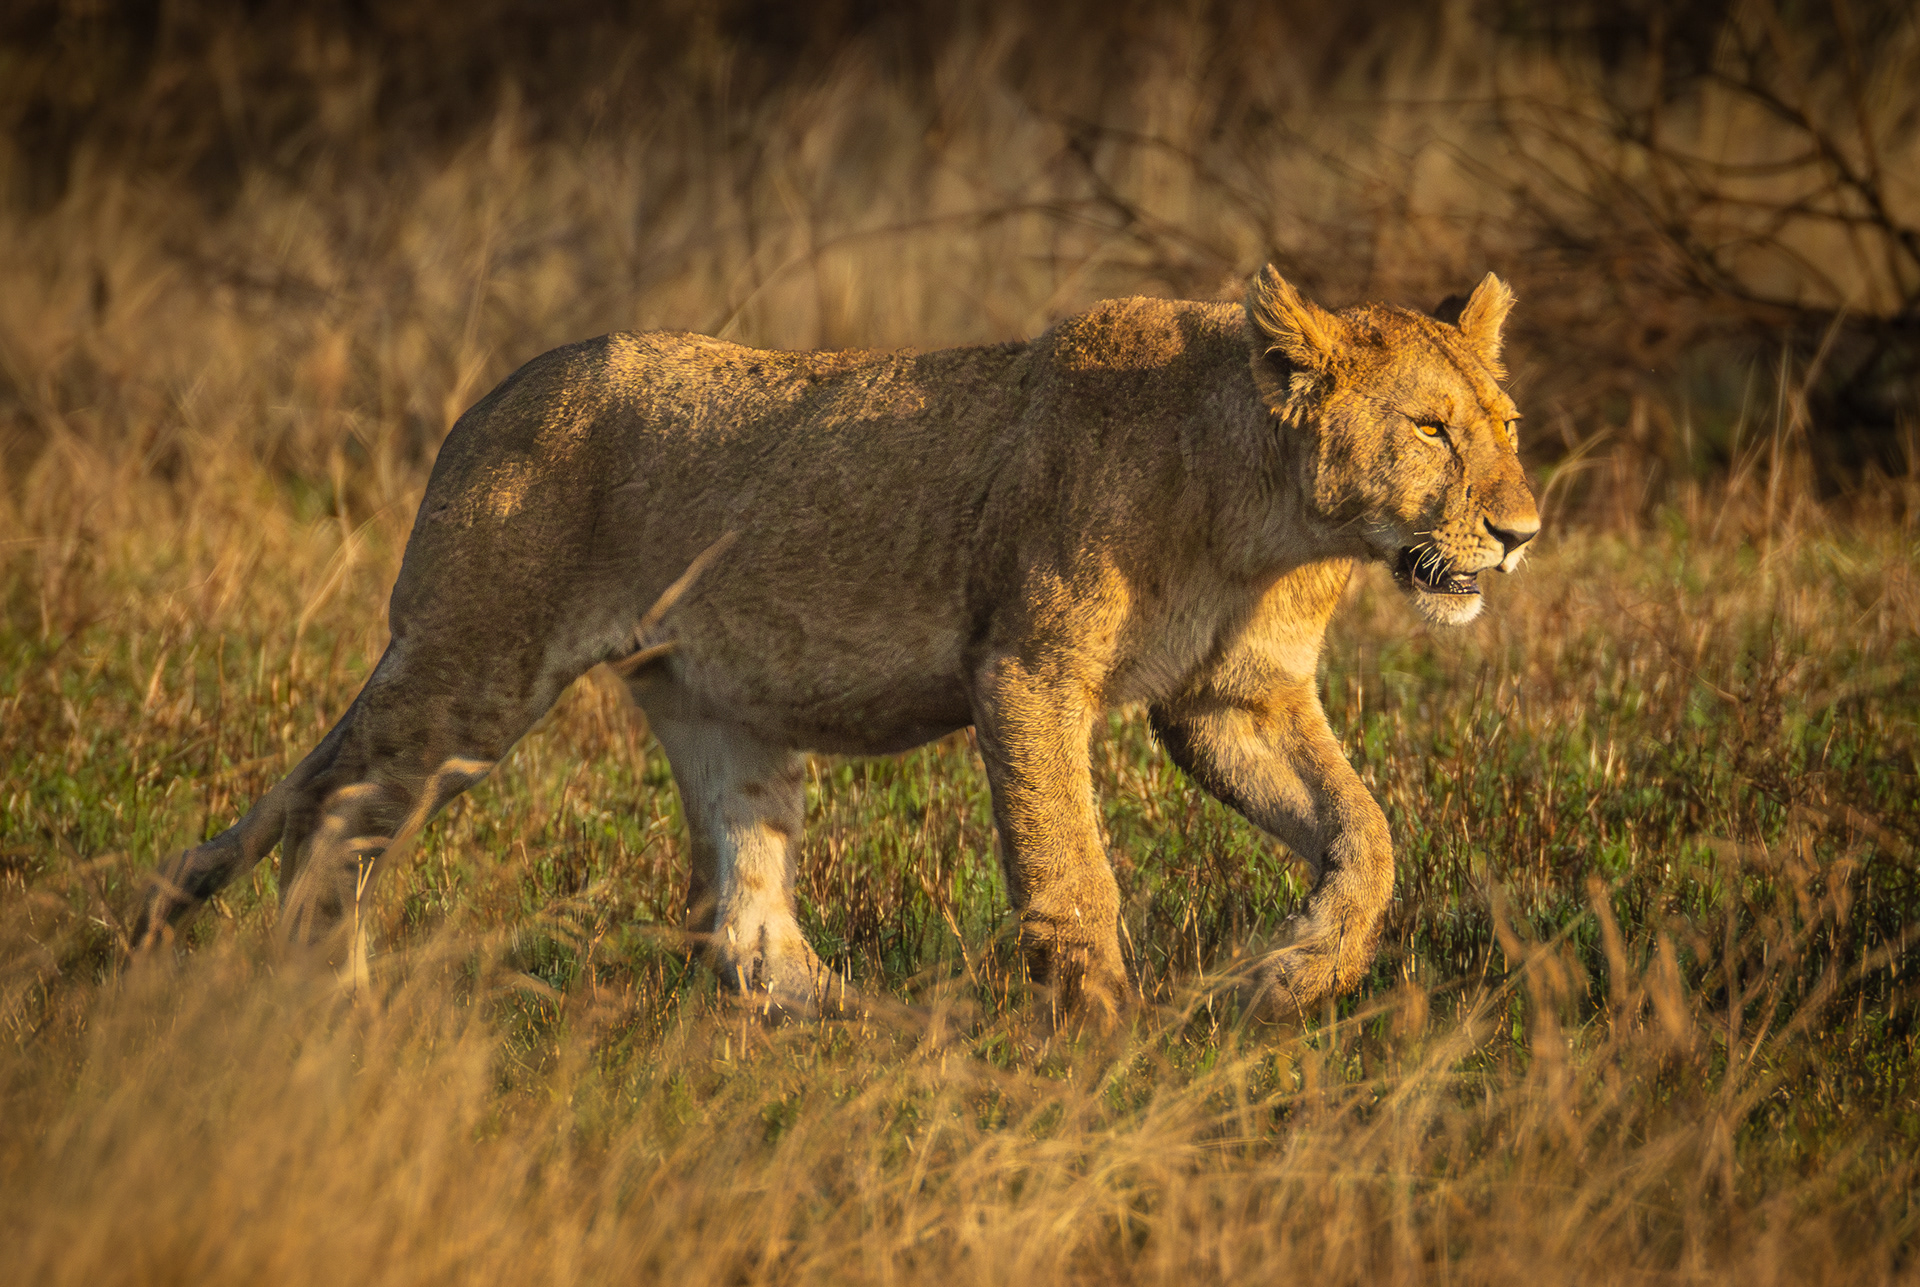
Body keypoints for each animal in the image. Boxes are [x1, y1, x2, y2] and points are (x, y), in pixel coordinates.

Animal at [131, 266, 1538, 1023]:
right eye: (1431, 430)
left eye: (1507, 424)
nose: (1522, 532)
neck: (1276, 526)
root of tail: (487, 401)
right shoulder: (1025, 671)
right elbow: (1071, 868)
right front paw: (1101, 1038)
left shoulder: (1230, 703)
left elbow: (1367, 838)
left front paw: (1286, 977)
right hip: (471, 670)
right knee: (334, 821)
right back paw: (328, 1008)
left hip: (721, 710)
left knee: (746, 923)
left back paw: (880, 1032)